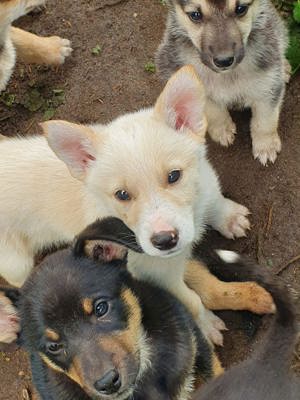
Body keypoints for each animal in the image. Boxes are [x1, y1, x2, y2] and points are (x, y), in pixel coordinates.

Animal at [157, 0, 290, 165]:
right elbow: (213, 110)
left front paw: (266, 146)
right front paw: (222, 130)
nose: (224, 61)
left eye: (241, 9)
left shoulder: (269, 84)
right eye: (195, 15)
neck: (227, 75)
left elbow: (265, 121)